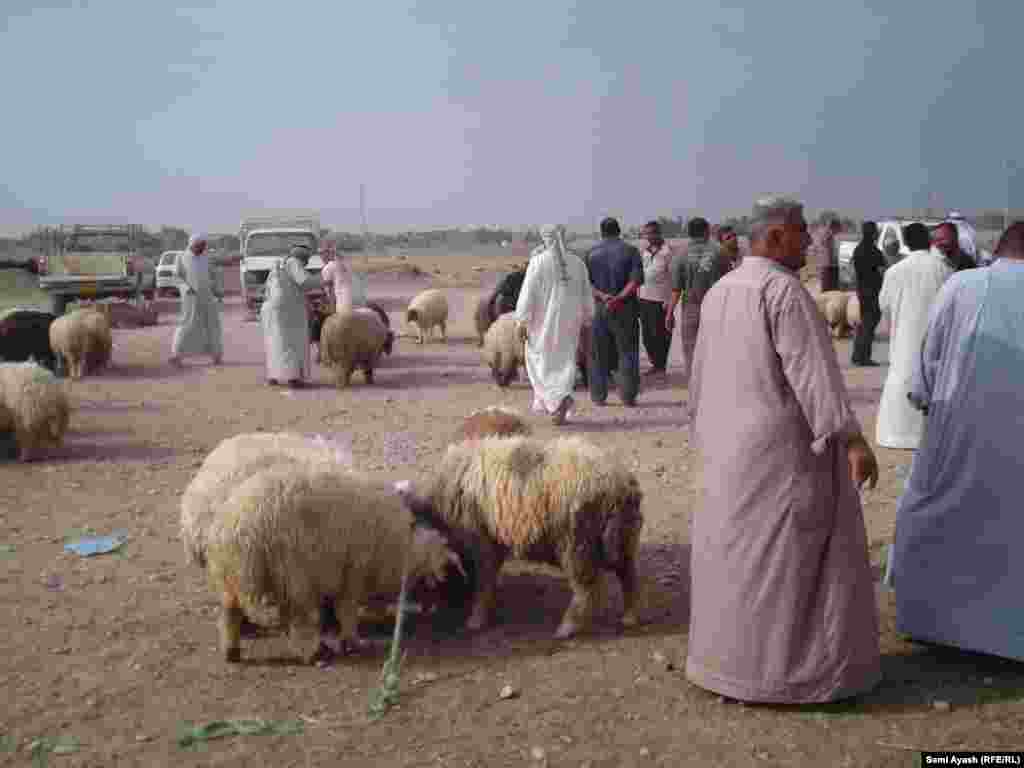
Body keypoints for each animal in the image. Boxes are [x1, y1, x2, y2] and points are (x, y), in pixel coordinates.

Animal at [204, 466, 468, 663]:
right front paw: (351, 641)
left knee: (229, 613)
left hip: (229, 579)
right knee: (299, 617)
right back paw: (315, 653)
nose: (438, 609)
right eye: (447, 571)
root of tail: (234, 527)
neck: (403, 546)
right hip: (292, 572)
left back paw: (231, 651)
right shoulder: (354, 572)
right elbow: (347, 610)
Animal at [397, 436, 643, 638]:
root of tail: (622, 484)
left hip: (577, 542)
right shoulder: (493, 541)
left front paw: (476, 620)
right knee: (628, 576)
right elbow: (488, 577)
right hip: (621, 537)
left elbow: (483, 580)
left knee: (585, 588)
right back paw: (630, 617)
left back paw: (566, 628)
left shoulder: (480, 541)